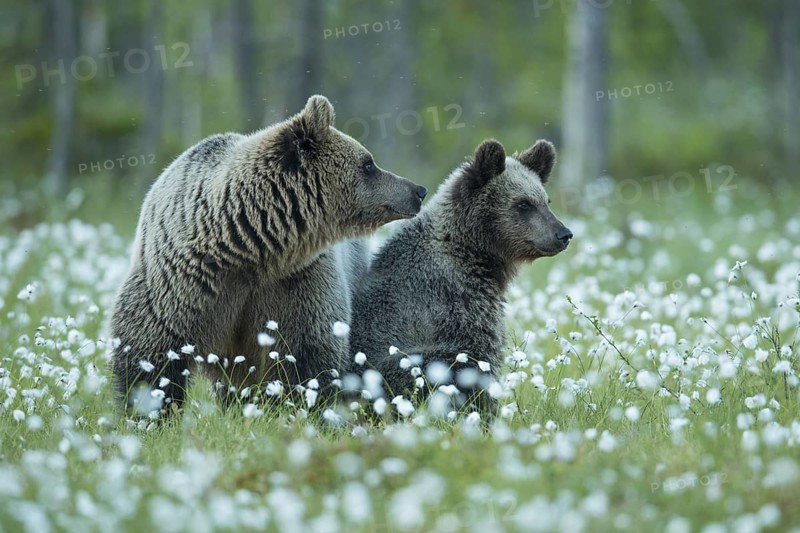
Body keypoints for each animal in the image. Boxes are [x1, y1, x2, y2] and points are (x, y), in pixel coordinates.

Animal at [110, 95, 427, 415]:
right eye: (368, 164)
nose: (418, 190)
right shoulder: (182, 279)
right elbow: (152, 349)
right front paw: (149, 410)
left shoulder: (298, 280)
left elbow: (307, 351)